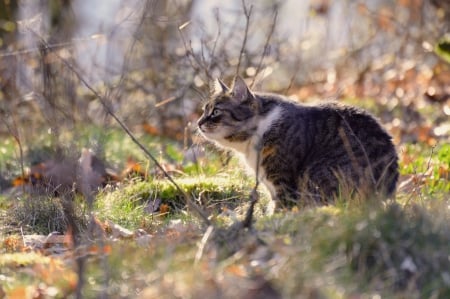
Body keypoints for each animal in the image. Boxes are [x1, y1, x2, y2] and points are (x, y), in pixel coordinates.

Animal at [197, 77, 398, 209]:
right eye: (204, 110)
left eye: (215, 112)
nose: (198, 123)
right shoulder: (270, 184)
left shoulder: (283, 181)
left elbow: (281, 208)